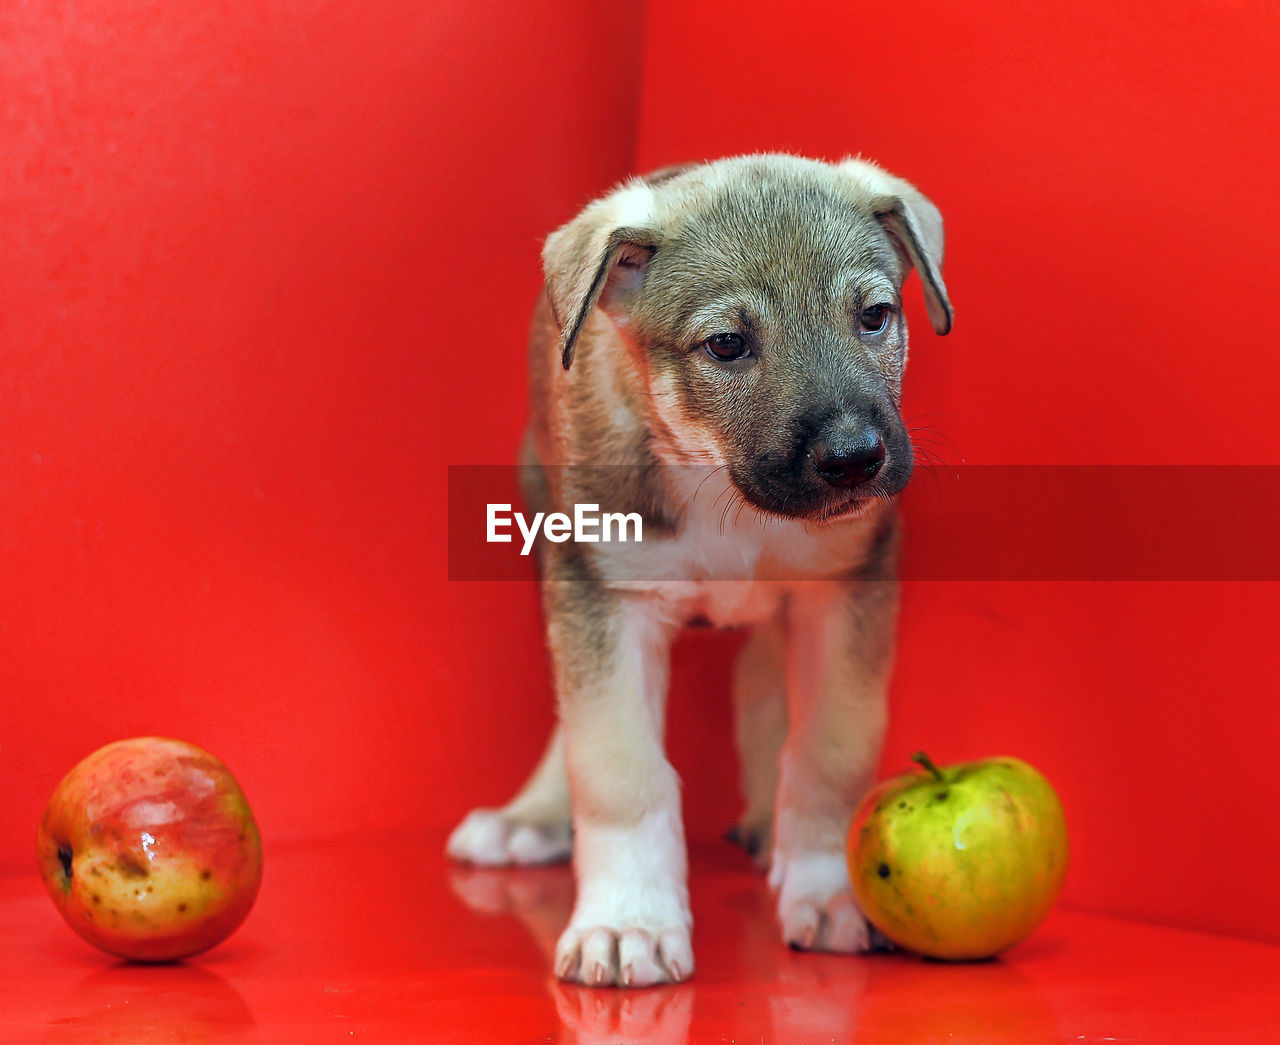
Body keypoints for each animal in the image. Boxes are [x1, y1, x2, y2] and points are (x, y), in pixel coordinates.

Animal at [450, 151, 952, 983]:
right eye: (726, 344)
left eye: (874, 316)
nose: (855, 459)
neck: (718, 479)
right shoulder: (606, 599)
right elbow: (617, 765)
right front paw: (628, 920)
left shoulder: (845, 592)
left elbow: (831, 749)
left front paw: (828, 889)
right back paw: (534, 816)